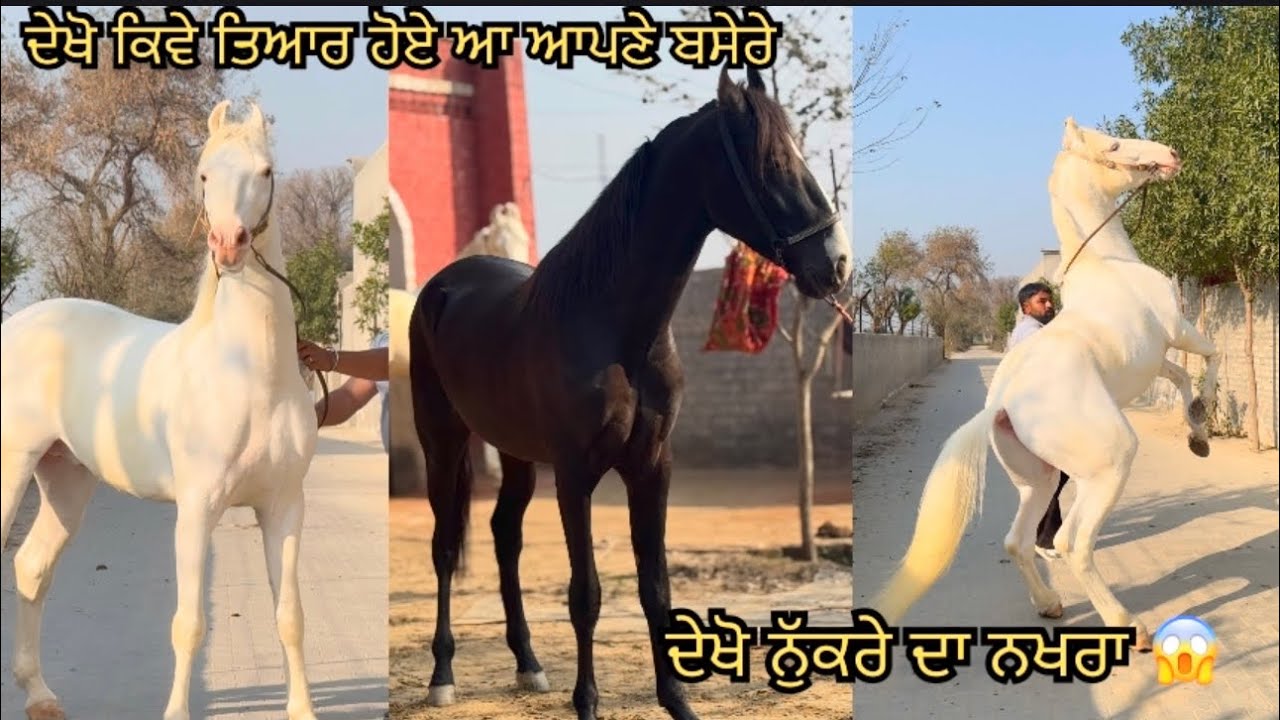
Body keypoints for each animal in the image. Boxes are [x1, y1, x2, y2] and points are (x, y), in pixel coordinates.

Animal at [1, 101, 321, 720]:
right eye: (203, 175)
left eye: (266, 171)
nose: (228, 244)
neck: (250, 376)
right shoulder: (197, 510)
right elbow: (189, 625)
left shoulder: (284, 508)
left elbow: (291, 618)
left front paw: (304, 710)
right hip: (12, 468)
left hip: (66, 479)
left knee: (32, 568)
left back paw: (41, 695)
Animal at [406, 66, 851, 720]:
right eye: (770, 163)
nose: (837, 264)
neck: (614, 327)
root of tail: (443, 286)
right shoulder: (575, 474)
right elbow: (586, 593)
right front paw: (587, 704)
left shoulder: (651, 466)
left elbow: (655, 586)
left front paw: (677, 701)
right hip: (443, 440)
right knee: (443, 547)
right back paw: (443, 675)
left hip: (514, 453)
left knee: (505, 536)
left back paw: (529, 664)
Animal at [869, 117, 1220, 651]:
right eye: (1114, 144)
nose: (1170, 155)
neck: (1111, 264)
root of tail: (1001, 403)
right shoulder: (1180, 331)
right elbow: (1212, 359)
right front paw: (1206, 420)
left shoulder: (1154, 360)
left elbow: (1181, 379)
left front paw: (1198, 437)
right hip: (1109, 463)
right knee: (1069, 542)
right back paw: (1127, 625)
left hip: (1039, 478)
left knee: (1018, 540)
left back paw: (1050, 604)